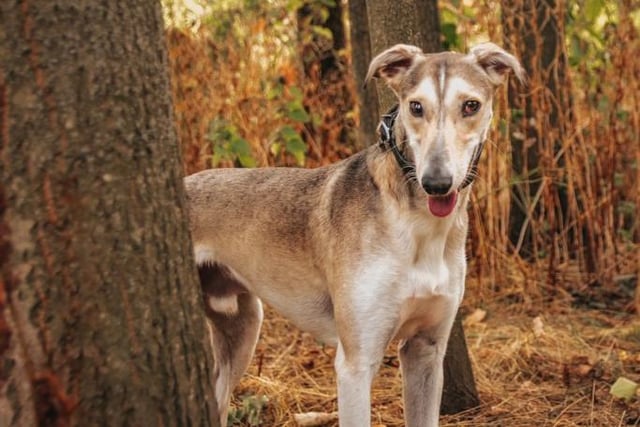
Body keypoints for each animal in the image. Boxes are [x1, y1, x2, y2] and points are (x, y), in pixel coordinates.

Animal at [184, 41, 520, 427]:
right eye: (415, 107)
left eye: (471, 106)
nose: (436, 183)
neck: (416, 226)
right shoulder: (356, 364)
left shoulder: (425, 351)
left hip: (241, 329)